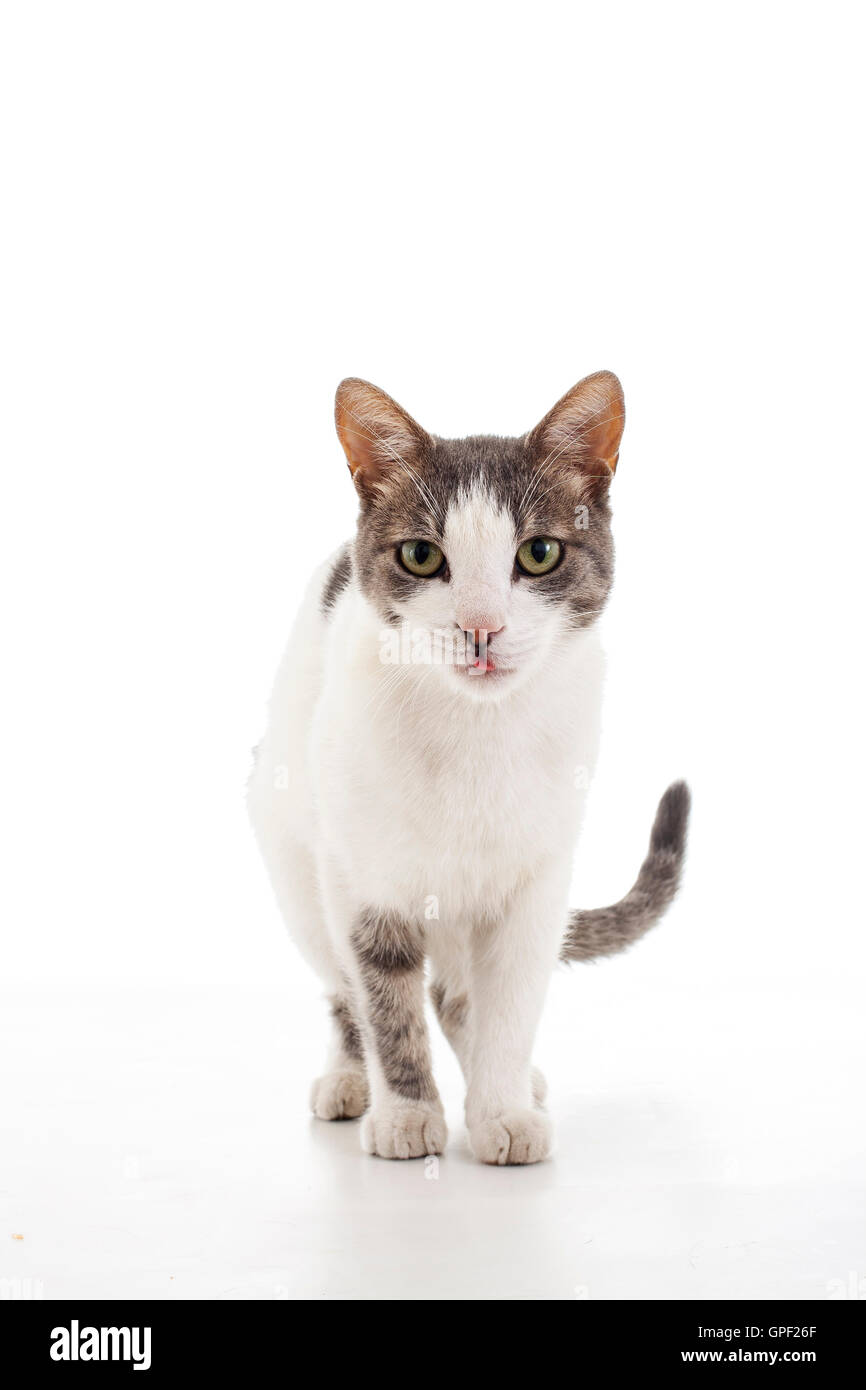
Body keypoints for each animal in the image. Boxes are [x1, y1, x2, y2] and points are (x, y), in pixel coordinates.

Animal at [246, 369, 692, 1162]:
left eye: (539, 553)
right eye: (422, 557)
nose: (481, 626)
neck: (475, 736)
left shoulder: (538, 881)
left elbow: (509, 1001)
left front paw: (501, 1106)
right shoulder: (359, 876)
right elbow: (382, 996)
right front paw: (406, 1113)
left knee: (455, 993)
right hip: (294, 859)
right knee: (345, 986)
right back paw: (349, 1079)